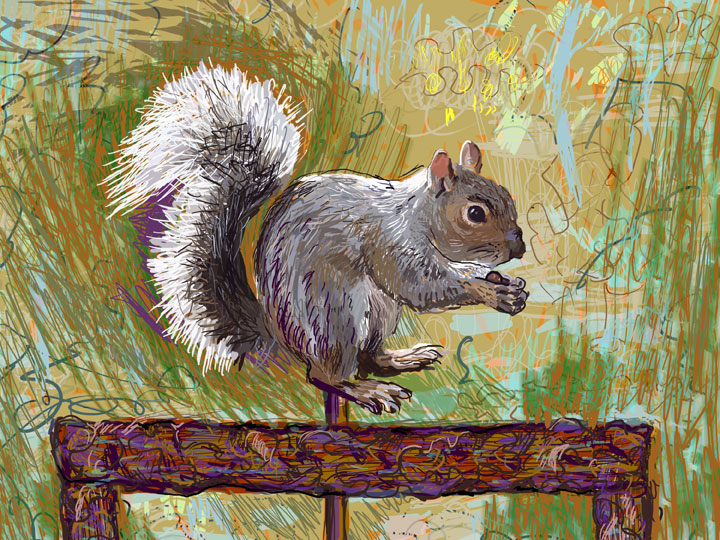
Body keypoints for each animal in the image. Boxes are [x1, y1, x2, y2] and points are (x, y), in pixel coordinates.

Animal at [105, 62, 528, 415]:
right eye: (475, 213)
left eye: (508, 196)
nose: (519, 246)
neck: (417, 214)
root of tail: (279, 332)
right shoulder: (390, 242)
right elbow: (420, 286)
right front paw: (489, 291)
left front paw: (500, 282)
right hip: (335, 317)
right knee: (325, 375)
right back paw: (367, 391)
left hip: (379, 315)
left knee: (369, 357)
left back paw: (400, 360)